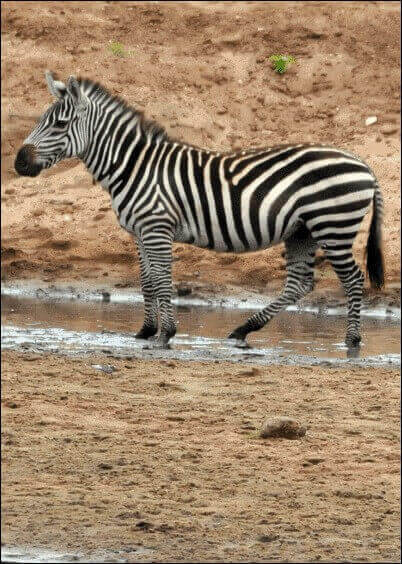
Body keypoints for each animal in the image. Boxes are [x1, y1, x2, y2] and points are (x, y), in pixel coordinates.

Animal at [15, 72, 384, 350]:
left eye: (60, 124)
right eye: (42, 121)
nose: (19, 163)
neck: (134, 166)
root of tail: (364, 164)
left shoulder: (157, 227)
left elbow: (162, 279)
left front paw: (166, 333)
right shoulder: (140, 232)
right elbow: (147, 280)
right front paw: (145, 331)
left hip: (333, 225)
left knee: (353, 278)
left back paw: (352, 340)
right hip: (302, 231)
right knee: (299, 283)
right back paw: (243, 330)